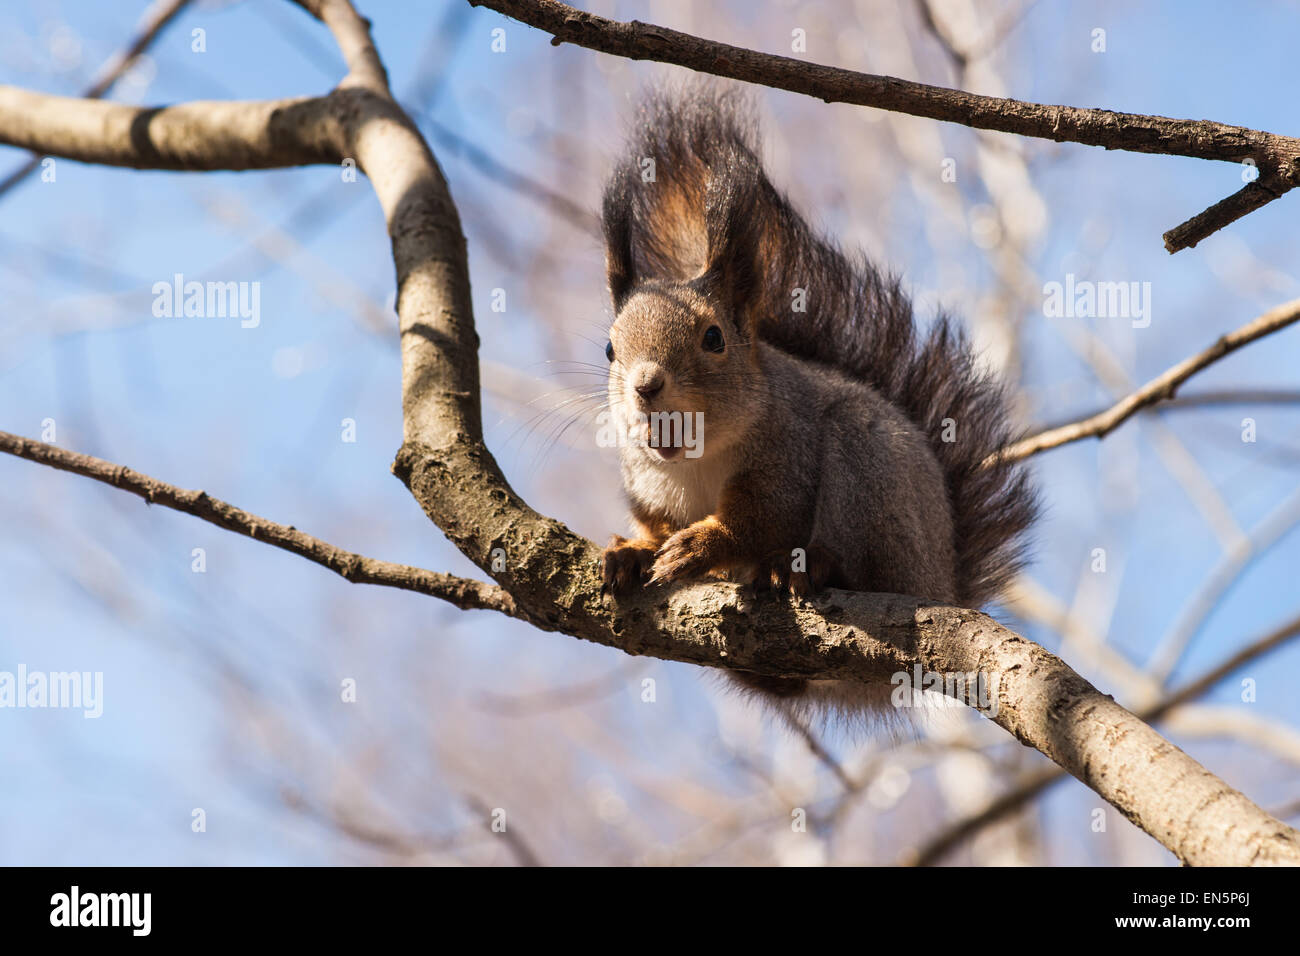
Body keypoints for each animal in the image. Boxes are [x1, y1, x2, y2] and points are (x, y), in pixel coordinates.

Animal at [598, 89, 1034, 723]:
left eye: (713, 338)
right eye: (609, 347)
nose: (646, 384)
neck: (696, 459)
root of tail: (943, 580)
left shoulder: (787, 456)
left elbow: (761, 518)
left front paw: (703, 544)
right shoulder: (646, 490)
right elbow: (653, 526)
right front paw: (632, 551)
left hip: (872, 478)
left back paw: (807, 566)